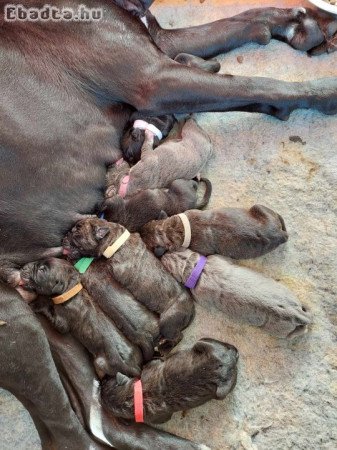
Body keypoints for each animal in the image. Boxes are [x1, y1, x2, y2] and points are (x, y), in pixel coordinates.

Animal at [62, 218, 194, 352]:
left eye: (77, 234)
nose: (66, 234)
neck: (115, 240)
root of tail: (191, 309)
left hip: (168, 324)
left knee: (177, 337)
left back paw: (162, 346)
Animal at [160, 250, 310, 338]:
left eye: (170, 270)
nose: (162, 255)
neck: (198, 270)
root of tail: (297, 315)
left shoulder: (200, 294)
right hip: (289, 295)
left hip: (279, 330)